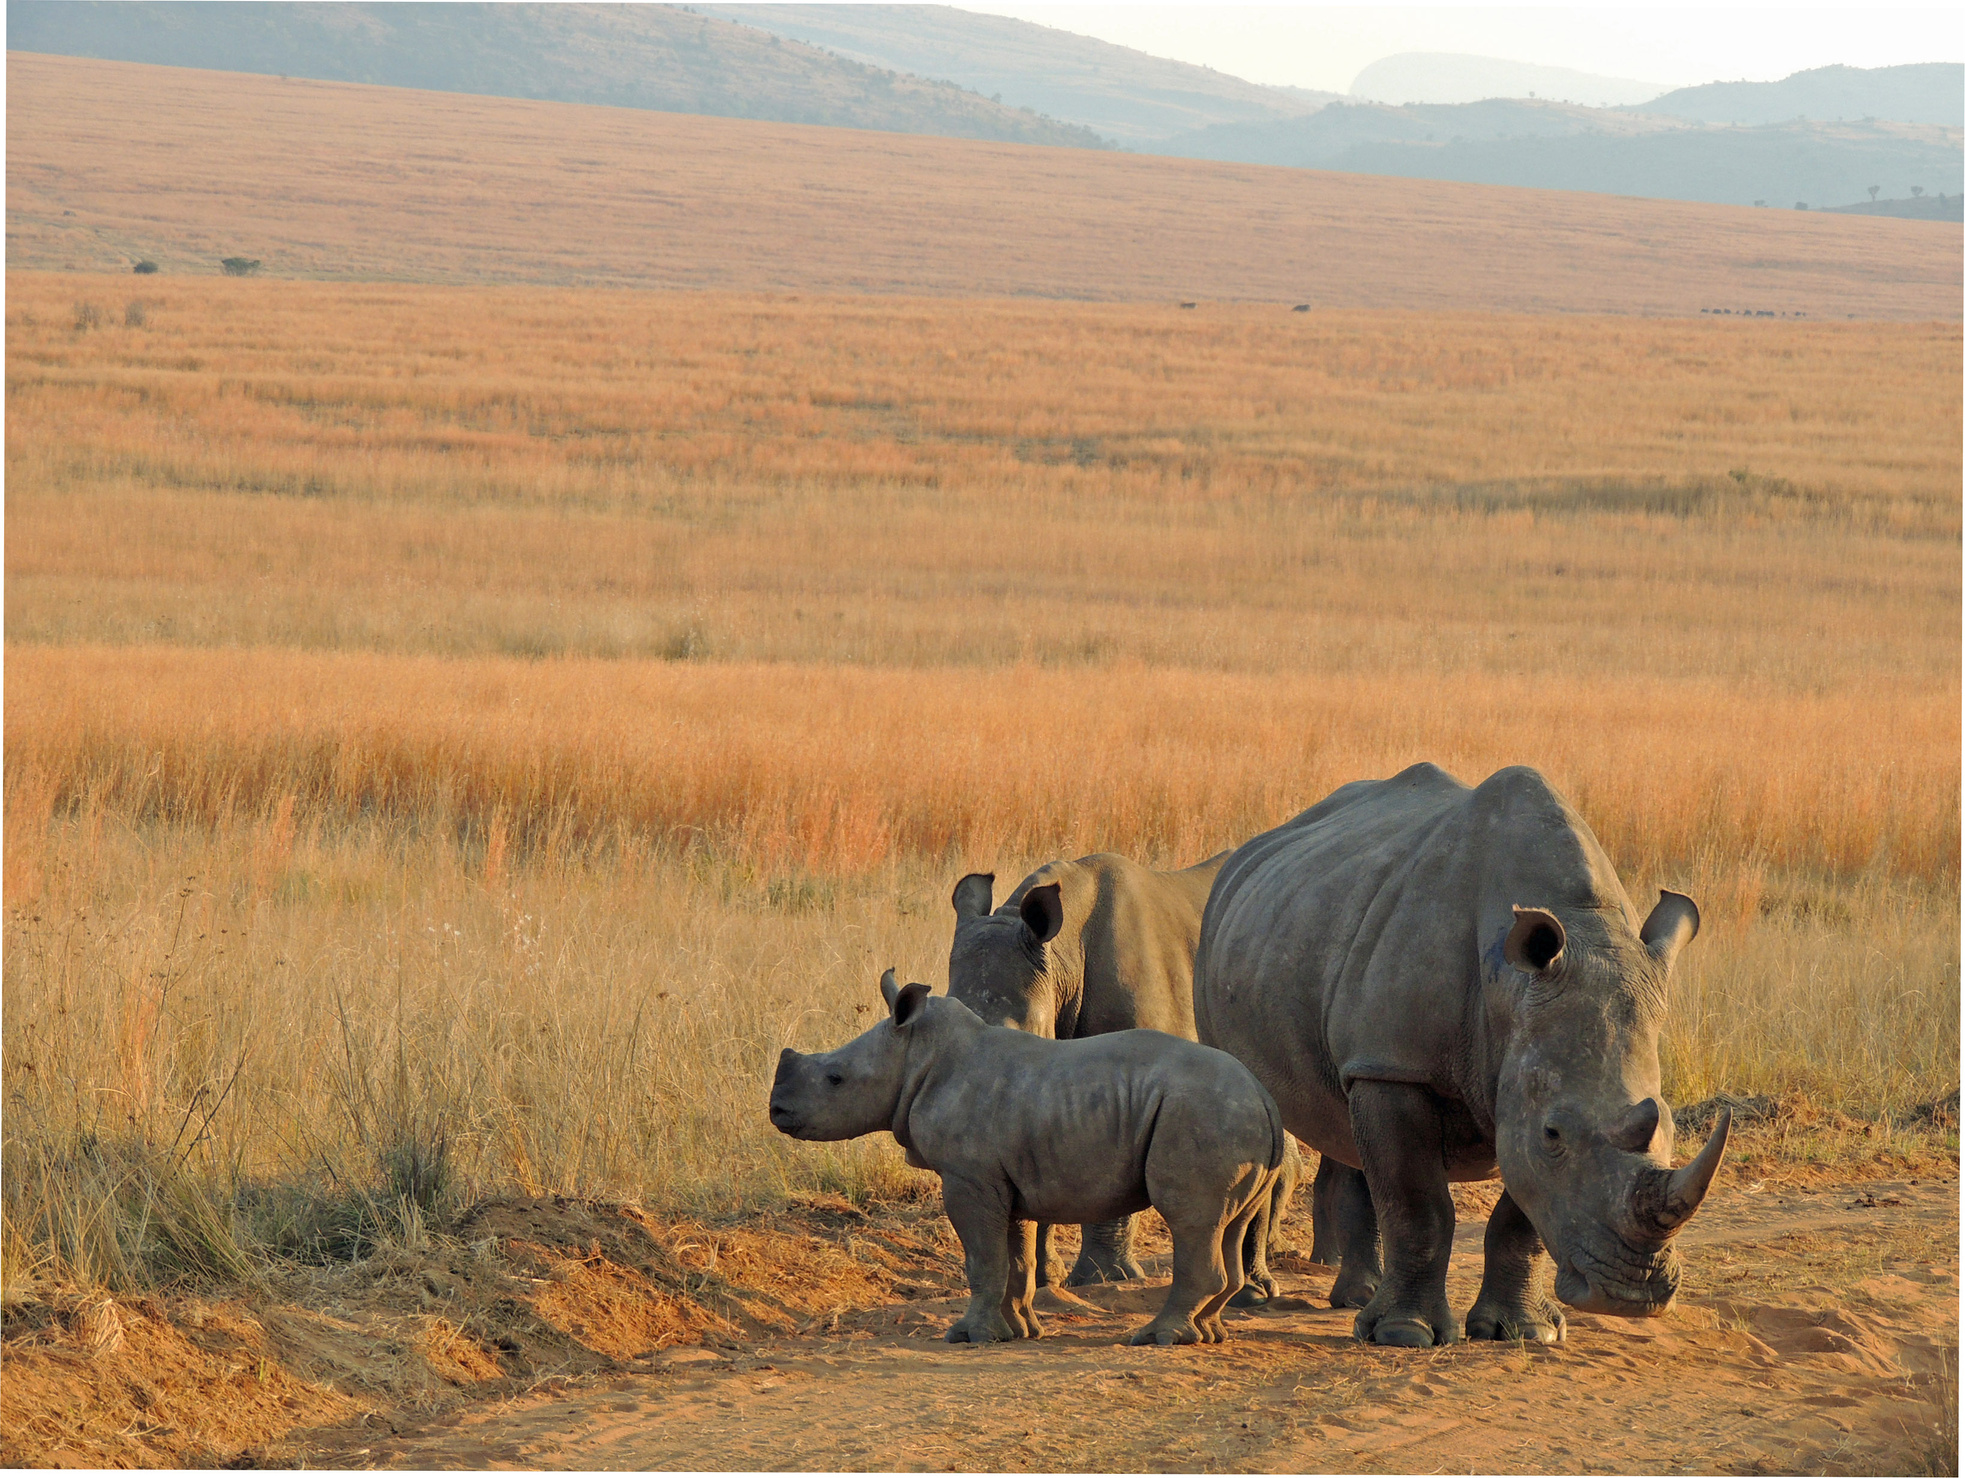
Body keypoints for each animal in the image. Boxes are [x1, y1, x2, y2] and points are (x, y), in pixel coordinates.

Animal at [766, 974, 1289, 1344]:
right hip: (1232, 1119)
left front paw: (968, 1336)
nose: (776, 1111)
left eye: (835, 1079)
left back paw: (1158, 1339)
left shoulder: (968, 1178)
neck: (916, 1053)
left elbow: (983, 1259)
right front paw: (1019, 1332)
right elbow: (1013, 1261)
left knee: (1190, 1220)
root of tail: (1265, 1098)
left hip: (1203, 1113)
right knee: (1229, 1222)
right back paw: (1208, 1334)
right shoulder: (1002, 1180)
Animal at [1186, 766, 1729, 1344]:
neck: (1512, 991)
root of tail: (1242, 858)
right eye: (1554, 1134)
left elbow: (1520, 1216)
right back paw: (1260, 1299)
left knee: (1347, 1120)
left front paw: (1522, 1331)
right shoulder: (1399, 1067)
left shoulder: (1508, 1080)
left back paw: (1356, 1299)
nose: (1631, 1294)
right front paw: (1406, 1334)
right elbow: (1418, 1204)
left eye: (1670, 1125)